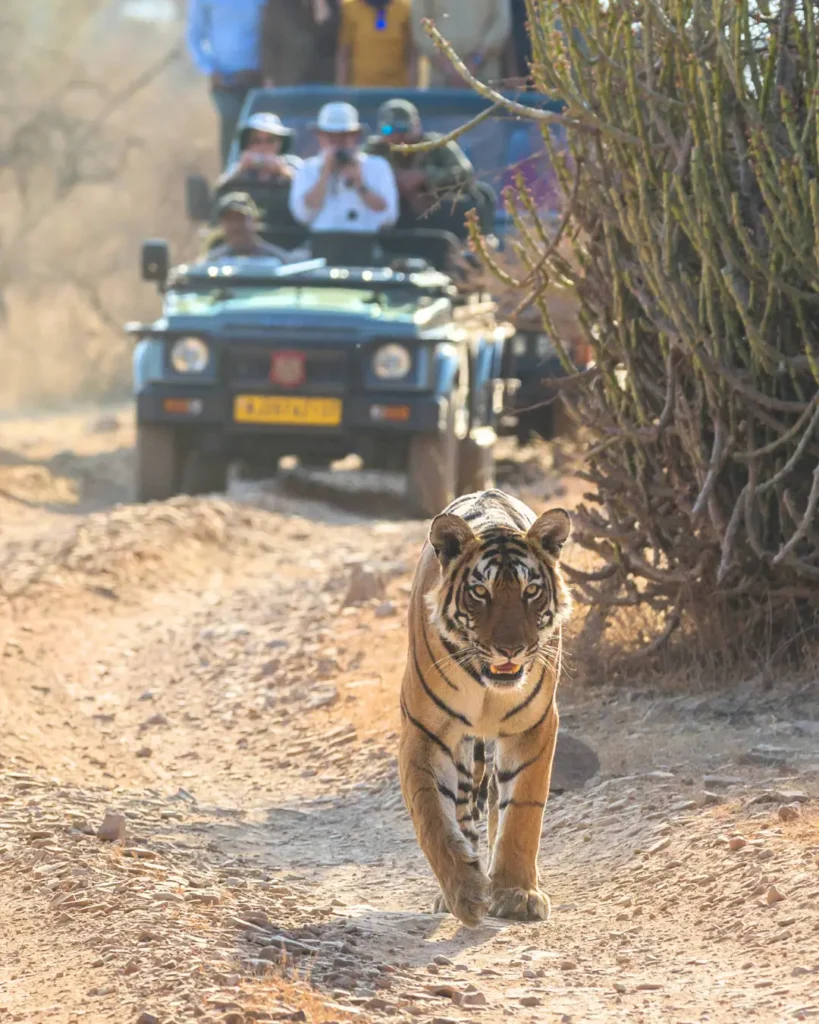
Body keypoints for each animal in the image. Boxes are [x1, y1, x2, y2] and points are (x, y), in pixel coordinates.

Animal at [398, 489, 572, 927]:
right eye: (481, 593)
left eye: (531, 591)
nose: (510, 649)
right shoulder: (425, 733)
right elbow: (433, 816)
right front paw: (466, 893)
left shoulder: (534, 726)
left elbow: (522, 813)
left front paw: (516, 893)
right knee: (462, 808)